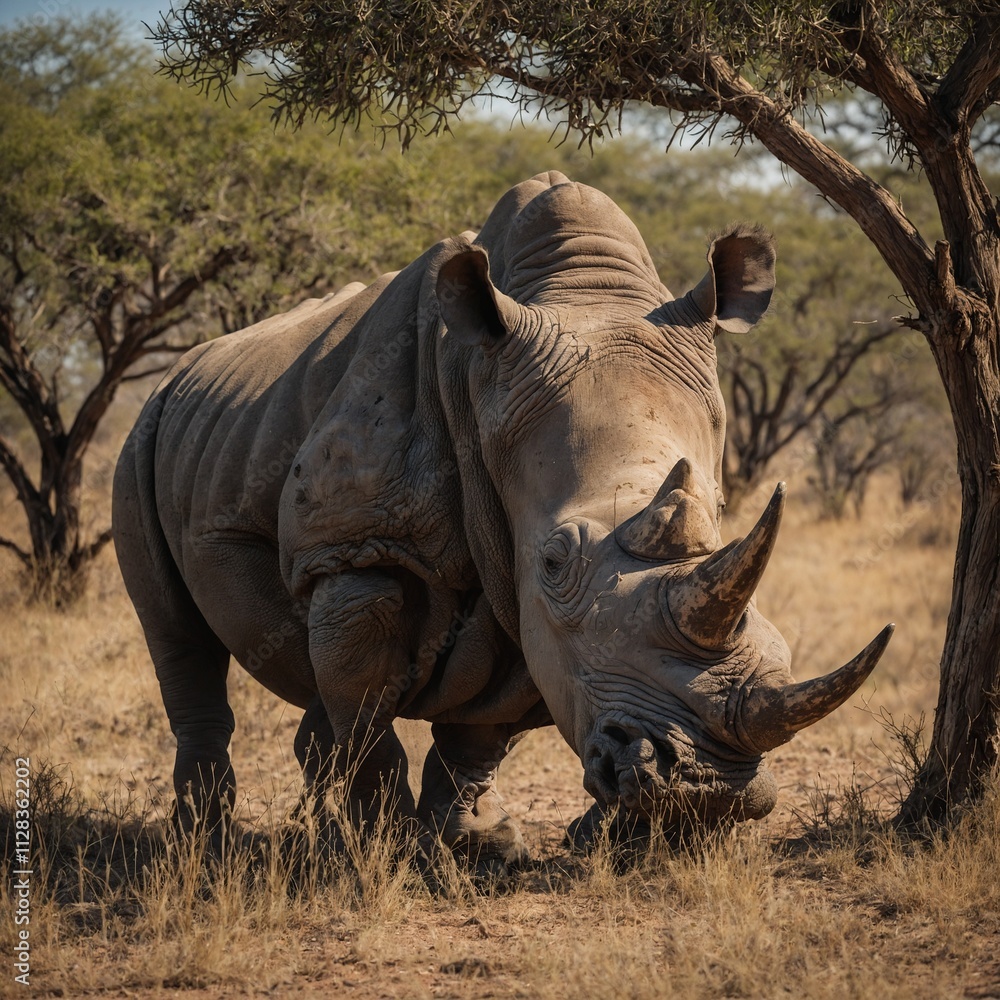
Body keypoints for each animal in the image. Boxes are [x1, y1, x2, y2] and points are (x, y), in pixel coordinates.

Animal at [112, 171, 893, 868]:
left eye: (721, 530)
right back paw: (205, 842)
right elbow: (368, 712)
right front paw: (389, 853)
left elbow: (483, 732)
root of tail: (183, 369)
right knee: (177, 637)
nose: (710, 790)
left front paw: (479, 843)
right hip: (142, 435)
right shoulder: (359, 548)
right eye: (555, 560)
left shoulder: (525, 603)